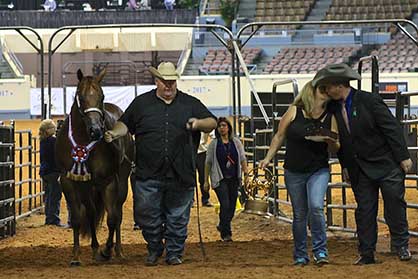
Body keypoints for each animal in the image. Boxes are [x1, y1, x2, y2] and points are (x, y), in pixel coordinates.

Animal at [55, 69, 134, 266]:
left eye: (102, 95)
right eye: (80, 96)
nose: (96, 130)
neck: (83, 141)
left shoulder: (107, 181)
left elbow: (112, 219)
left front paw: (106, 250)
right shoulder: (69, 181)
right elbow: (78, 218)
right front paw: (77, 256)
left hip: (121, 181)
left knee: (117, 214)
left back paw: (118, 251)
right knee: (91, 212)